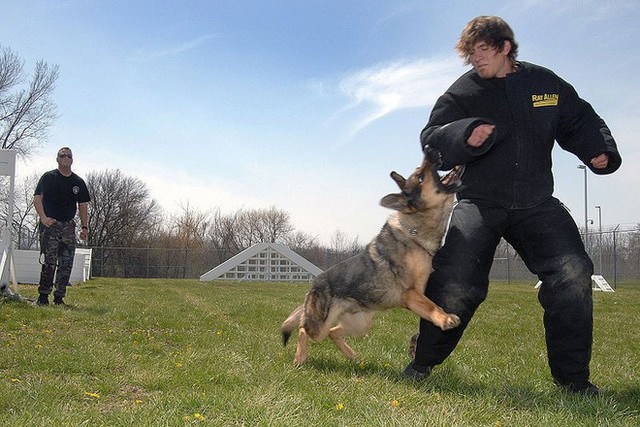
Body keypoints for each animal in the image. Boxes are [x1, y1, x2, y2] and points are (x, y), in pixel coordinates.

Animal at [282, 147, 462, 364]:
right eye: (420, 176)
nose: (428, 149)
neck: (416, 230)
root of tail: (313, 285)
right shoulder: (410, 293)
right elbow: (432, 306)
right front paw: (445, 318)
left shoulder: (416, 294)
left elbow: (430, 306)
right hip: (320, 326)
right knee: (303, 329)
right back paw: (300, 358)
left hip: (360, 324)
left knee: (334, 333)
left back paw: (352, 355)